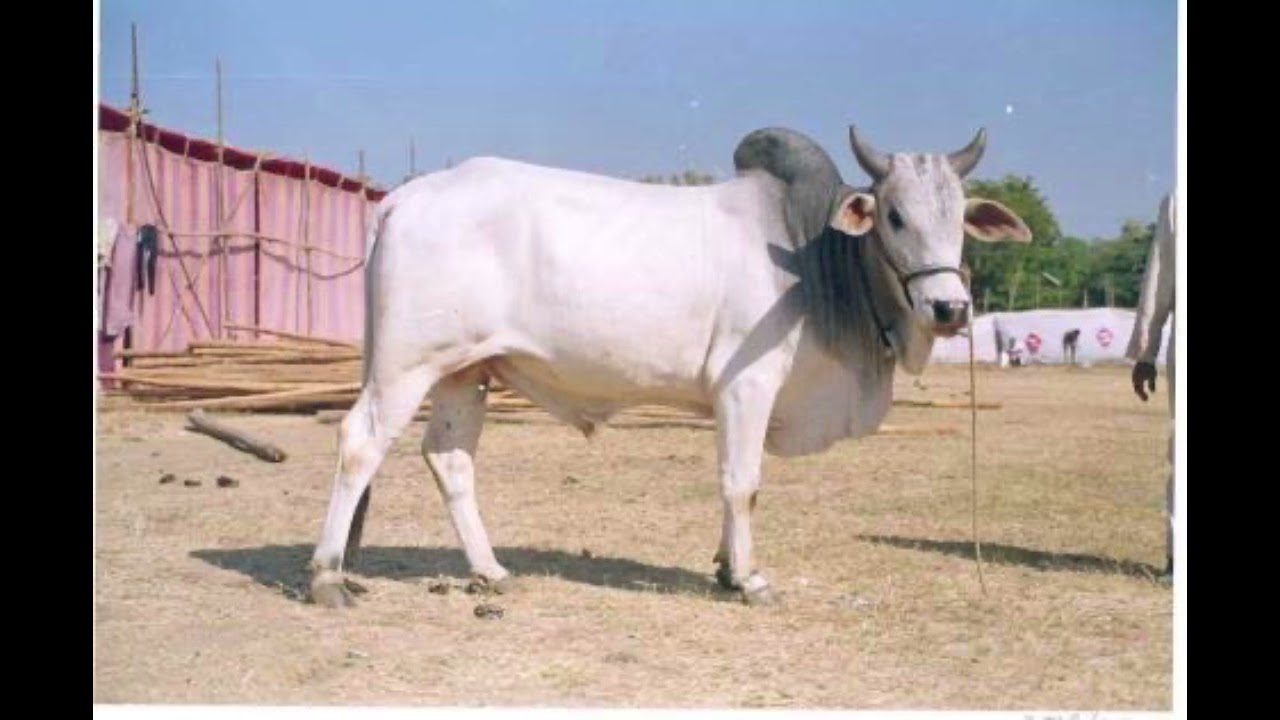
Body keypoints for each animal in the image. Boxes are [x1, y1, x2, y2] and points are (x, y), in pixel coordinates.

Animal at [307, 125, 1032, 608]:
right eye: (896, 215)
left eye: (959, 220)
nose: (950, 307)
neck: (812, 254)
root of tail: (401, 198)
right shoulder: (747, 386)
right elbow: (742, 482)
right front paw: (749, 579)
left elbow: (732, 483)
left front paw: (725, 566)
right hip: (405, 368)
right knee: (359, 443)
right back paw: (327, 576)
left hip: (466, 371)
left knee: (450, 460)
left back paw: (490, 571)